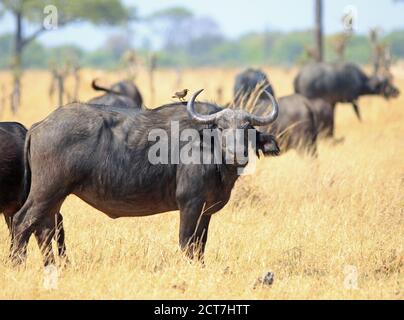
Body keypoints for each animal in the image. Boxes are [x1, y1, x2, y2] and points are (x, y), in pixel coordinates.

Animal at [10, 89, 280, 264]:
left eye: (248, 128)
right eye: (221, 128)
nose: (237, 154)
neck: (210, 149)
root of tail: (39, 125)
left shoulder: (205, 211)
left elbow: (201, 246)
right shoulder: (190, 204)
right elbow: (187, 243)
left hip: (55, 196)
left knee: (45, 228)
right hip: (47, 191)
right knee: (22, 222)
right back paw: (16, 263)